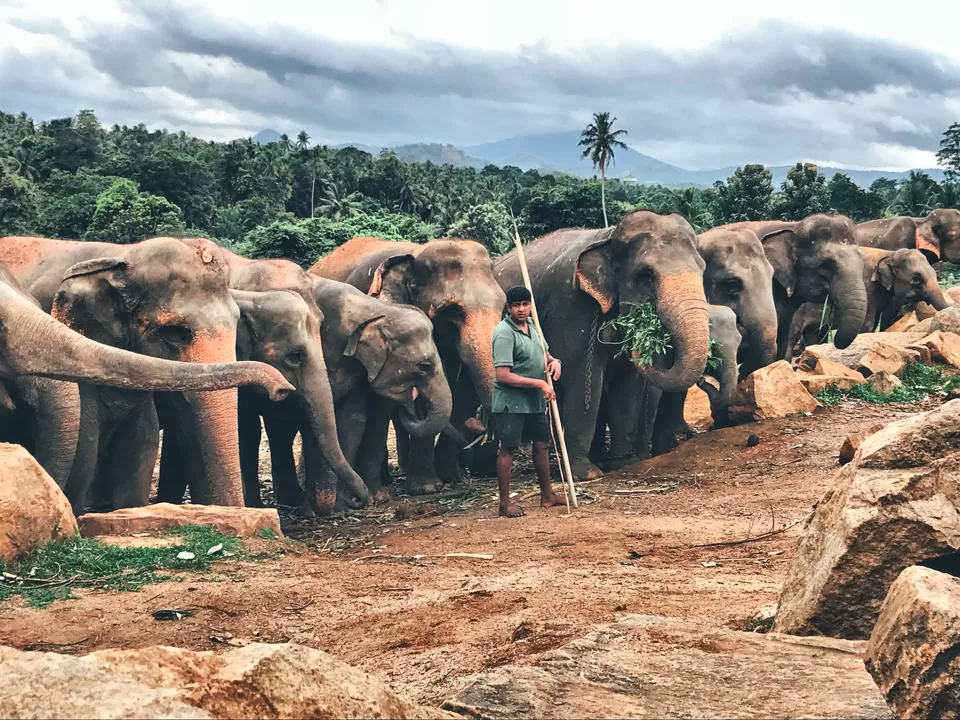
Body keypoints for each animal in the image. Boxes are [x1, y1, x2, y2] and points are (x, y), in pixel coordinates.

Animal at [0, 235, 275, 509]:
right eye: (173, 332)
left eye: (236, 323)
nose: (278, 388)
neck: (123, 256)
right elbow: (85, 453)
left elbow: (141, 450)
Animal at [309, 237, 504, 492]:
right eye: (453, 311)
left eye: (503, 305)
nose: (477, 425)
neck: (416, 252)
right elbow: (380, 402)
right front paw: (419, 489)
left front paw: (438, 483)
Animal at [493, 210, 710, 481]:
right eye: (646, 275)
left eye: (703, 269)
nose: (646, 335)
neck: (607, 235)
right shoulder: (571, 308)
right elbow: (583, 380)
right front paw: (587, 474)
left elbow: (627, 386)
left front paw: (623, 463)